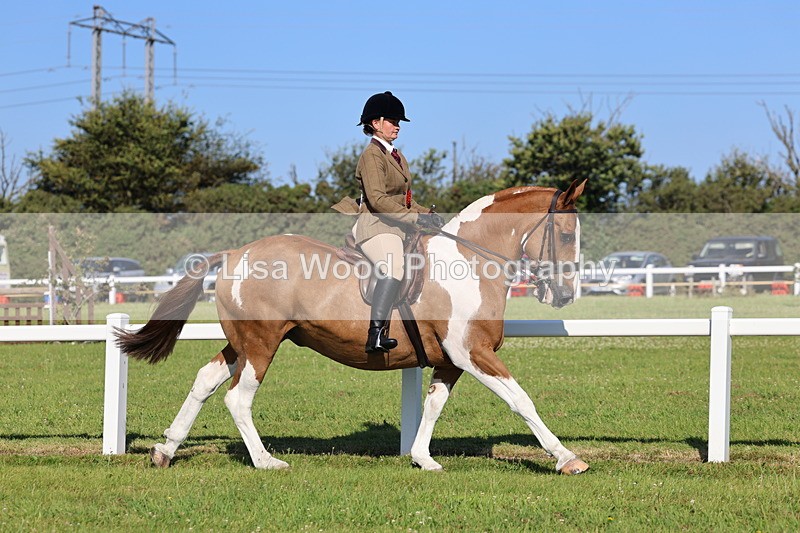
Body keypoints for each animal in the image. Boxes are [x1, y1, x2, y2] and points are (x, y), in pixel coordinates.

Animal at [115, 178, 589, 474]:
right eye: (567, 236)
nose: (565, 294)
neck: (470, 261)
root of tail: (236, 253)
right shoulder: (472, 352)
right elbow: (522, 401)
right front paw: (567, 457)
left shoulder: (452, 360)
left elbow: (433, 406)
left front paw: (422, 458)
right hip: (262, 344)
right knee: (238, 398)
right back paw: (267, 461)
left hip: (244, 343)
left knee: (204, 381)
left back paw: (165, 450)